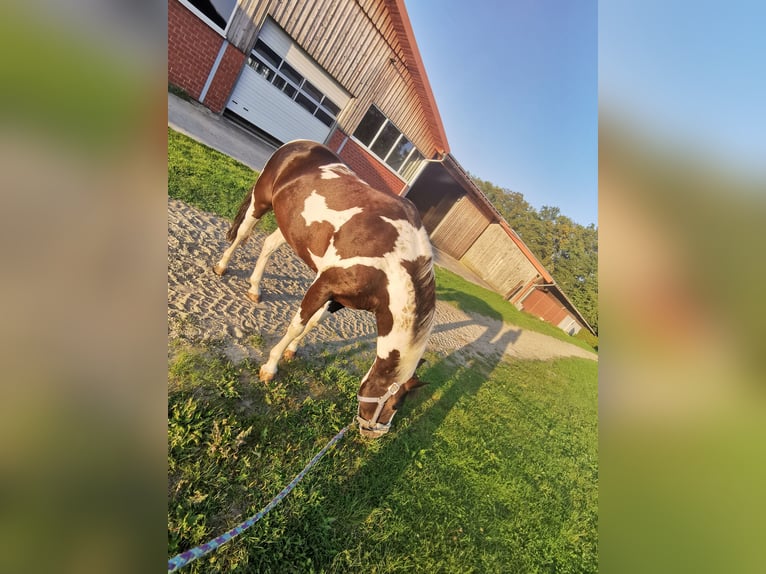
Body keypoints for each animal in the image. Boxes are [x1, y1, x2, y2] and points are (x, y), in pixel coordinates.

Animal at [213, 142, 436, 438]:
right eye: (392, 403)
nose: (373, 434)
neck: (390, 262)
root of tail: (297, 146)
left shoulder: (338, 298)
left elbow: (313, 323)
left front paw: (292, 350)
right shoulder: (323, 284)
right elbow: (297, 324)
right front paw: (270, 367)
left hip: (291, 225)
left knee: (268, 245)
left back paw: (255, 288)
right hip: (261, 202)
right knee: (242, 234)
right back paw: (221, 266)